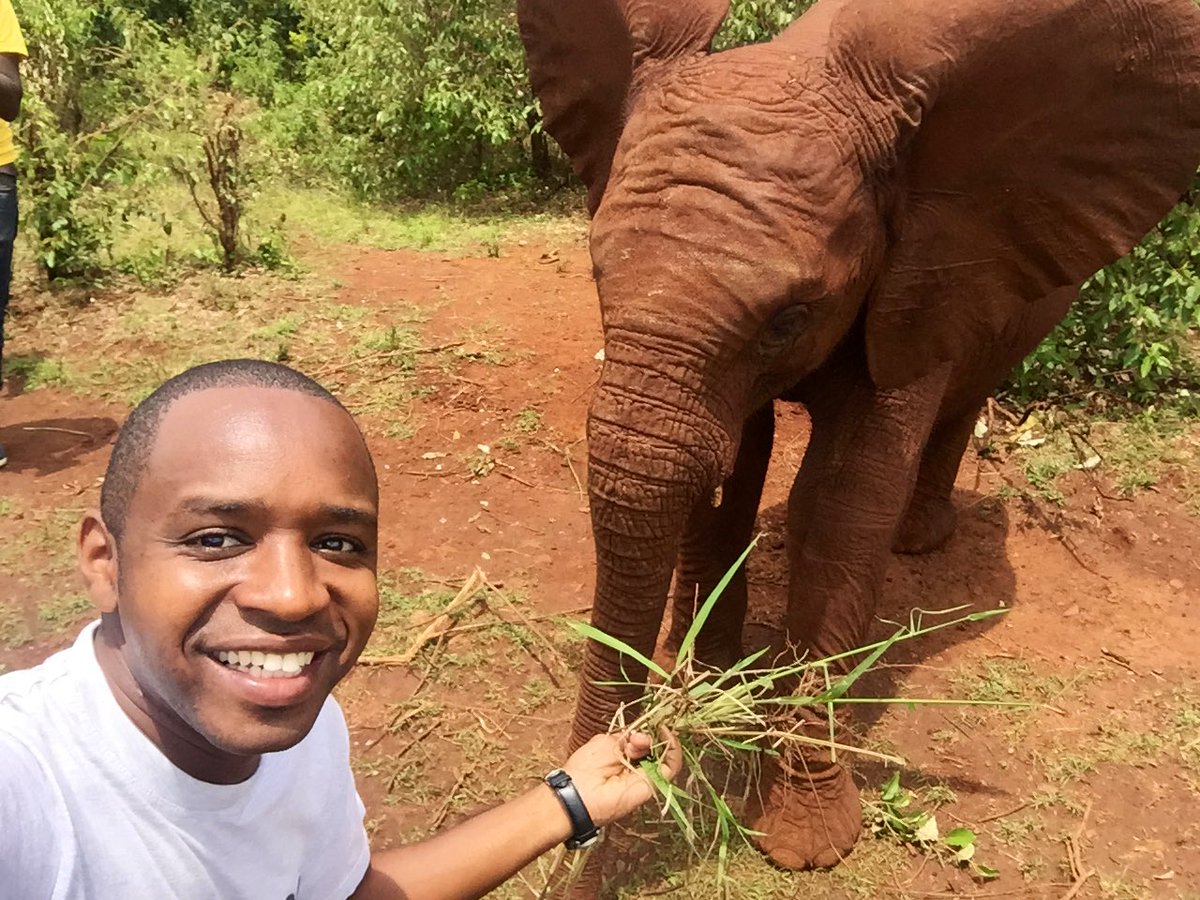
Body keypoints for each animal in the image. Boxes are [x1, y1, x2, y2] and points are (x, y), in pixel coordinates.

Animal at [518, 0, 1200, 872]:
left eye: (789, 317)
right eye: (599, 275)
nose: (619, 773)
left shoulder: (923, 272)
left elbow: (846, 507)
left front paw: (805, 845)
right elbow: (732, 463)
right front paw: (717, 676)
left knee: (962, 397)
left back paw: (918, 539)